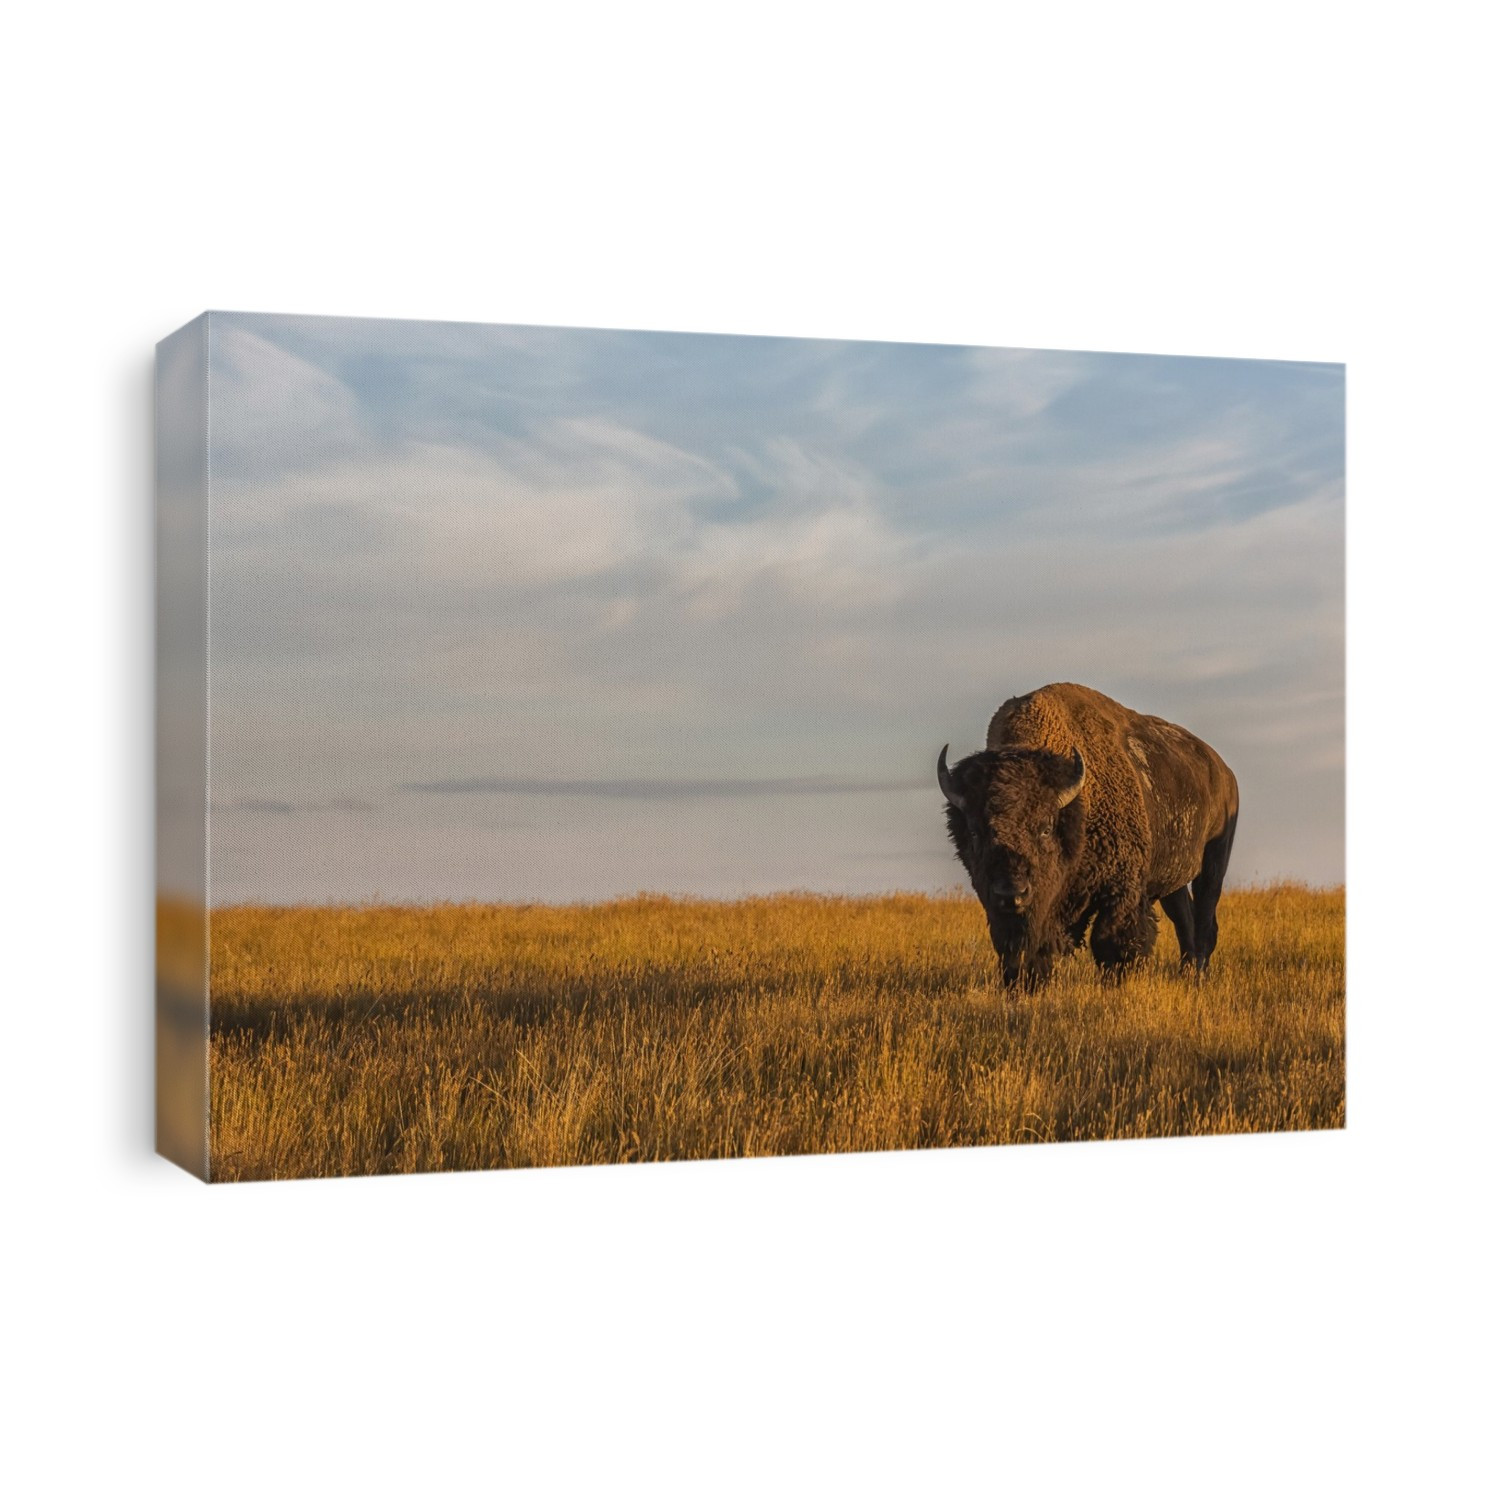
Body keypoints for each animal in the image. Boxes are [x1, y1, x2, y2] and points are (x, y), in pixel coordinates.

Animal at [938, 682, 1239, 988]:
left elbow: (1110, 942)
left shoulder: (1121, 890)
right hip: (1171, 880)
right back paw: (1187, 972)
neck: (1079, 804)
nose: (1013, 894)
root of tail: (1224, 771)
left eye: (1046, 828)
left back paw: (1198, 975)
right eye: (975, 832)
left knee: (1205, 919)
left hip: (1215, 859)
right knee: (1184, 919)